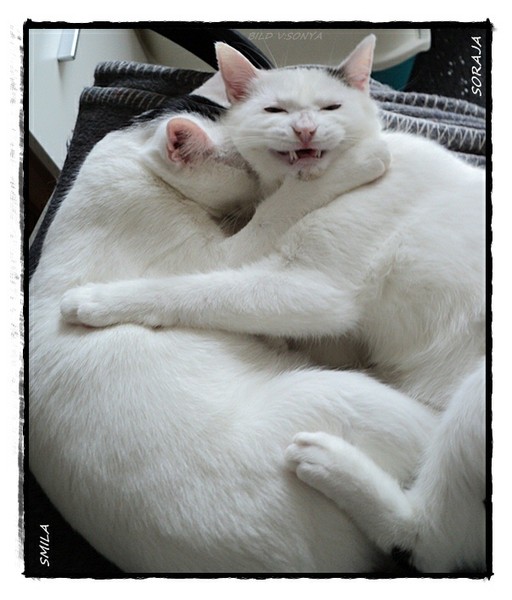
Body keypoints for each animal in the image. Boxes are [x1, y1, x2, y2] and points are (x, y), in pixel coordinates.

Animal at [61, 36, 487, 573]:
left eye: (330, 108)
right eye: (274, 111)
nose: (304, 128)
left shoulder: (313, 291)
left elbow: (195, 288)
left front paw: (96, 300)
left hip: (460, 402)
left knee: (428, 541)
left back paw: (335, 464)